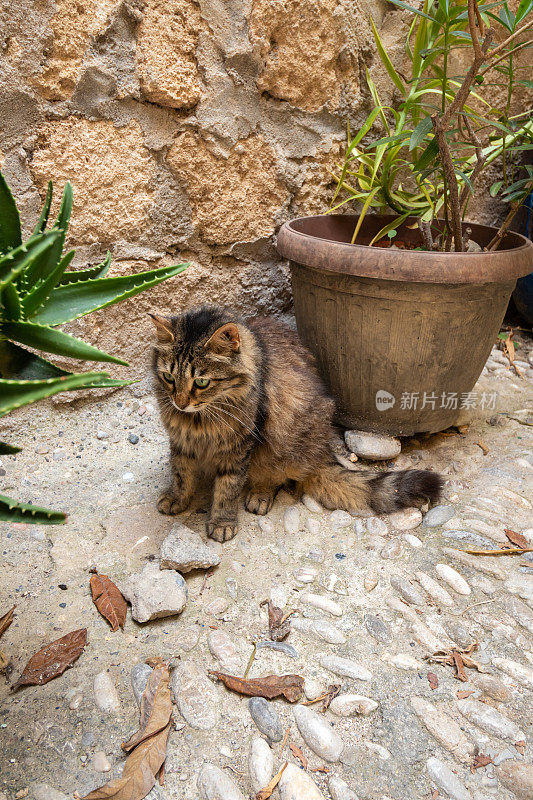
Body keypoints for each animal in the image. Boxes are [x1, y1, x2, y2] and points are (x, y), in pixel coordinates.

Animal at [150, 306, 440, 544]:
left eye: (201, 382)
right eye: (168, 378)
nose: (180, 402)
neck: (197, 421)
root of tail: (323, 450)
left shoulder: (239, 448)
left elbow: (227, 489)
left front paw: (222, 522)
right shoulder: (180, 442)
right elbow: (181, 474)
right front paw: (178, 498)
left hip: (282, 446)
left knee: (273, 477)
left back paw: (259, 496)